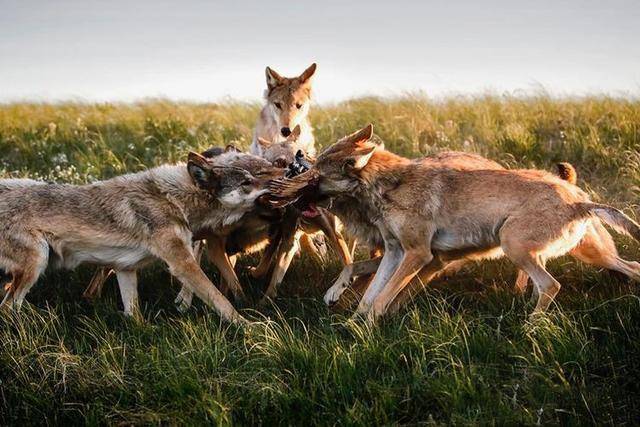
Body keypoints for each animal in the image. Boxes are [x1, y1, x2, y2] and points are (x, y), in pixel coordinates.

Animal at [270, 125, 640, 322]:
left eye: (317, 171)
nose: (297, 159)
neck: (390, 186)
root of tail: (580, 199)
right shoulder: (393, 252)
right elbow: (370, 294)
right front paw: (355, 324)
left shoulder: (417, 254)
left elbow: (381, 295)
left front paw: (367, 326)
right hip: (582, 253)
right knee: (629, 266)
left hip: (514, 244)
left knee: (551, 285)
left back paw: (531, 326)